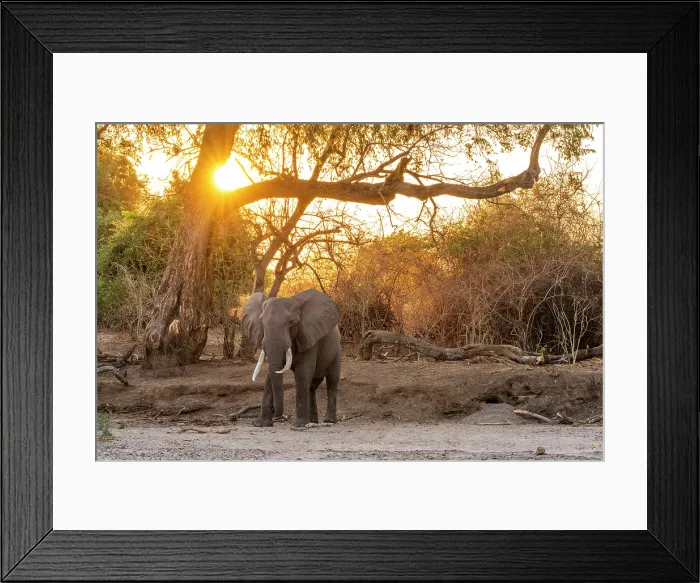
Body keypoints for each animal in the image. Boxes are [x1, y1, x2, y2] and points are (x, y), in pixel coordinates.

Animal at [241, 288, 341, 428]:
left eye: (290, 322)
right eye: (261, 323)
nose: (276, 413)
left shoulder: (309, 336)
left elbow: (303, 372)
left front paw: (299, 425)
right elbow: (270, 375)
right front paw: (260, 424)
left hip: (337, 350)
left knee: (332, 380)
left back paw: (328, 421)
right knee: (312, 386)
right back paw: (312, 421)